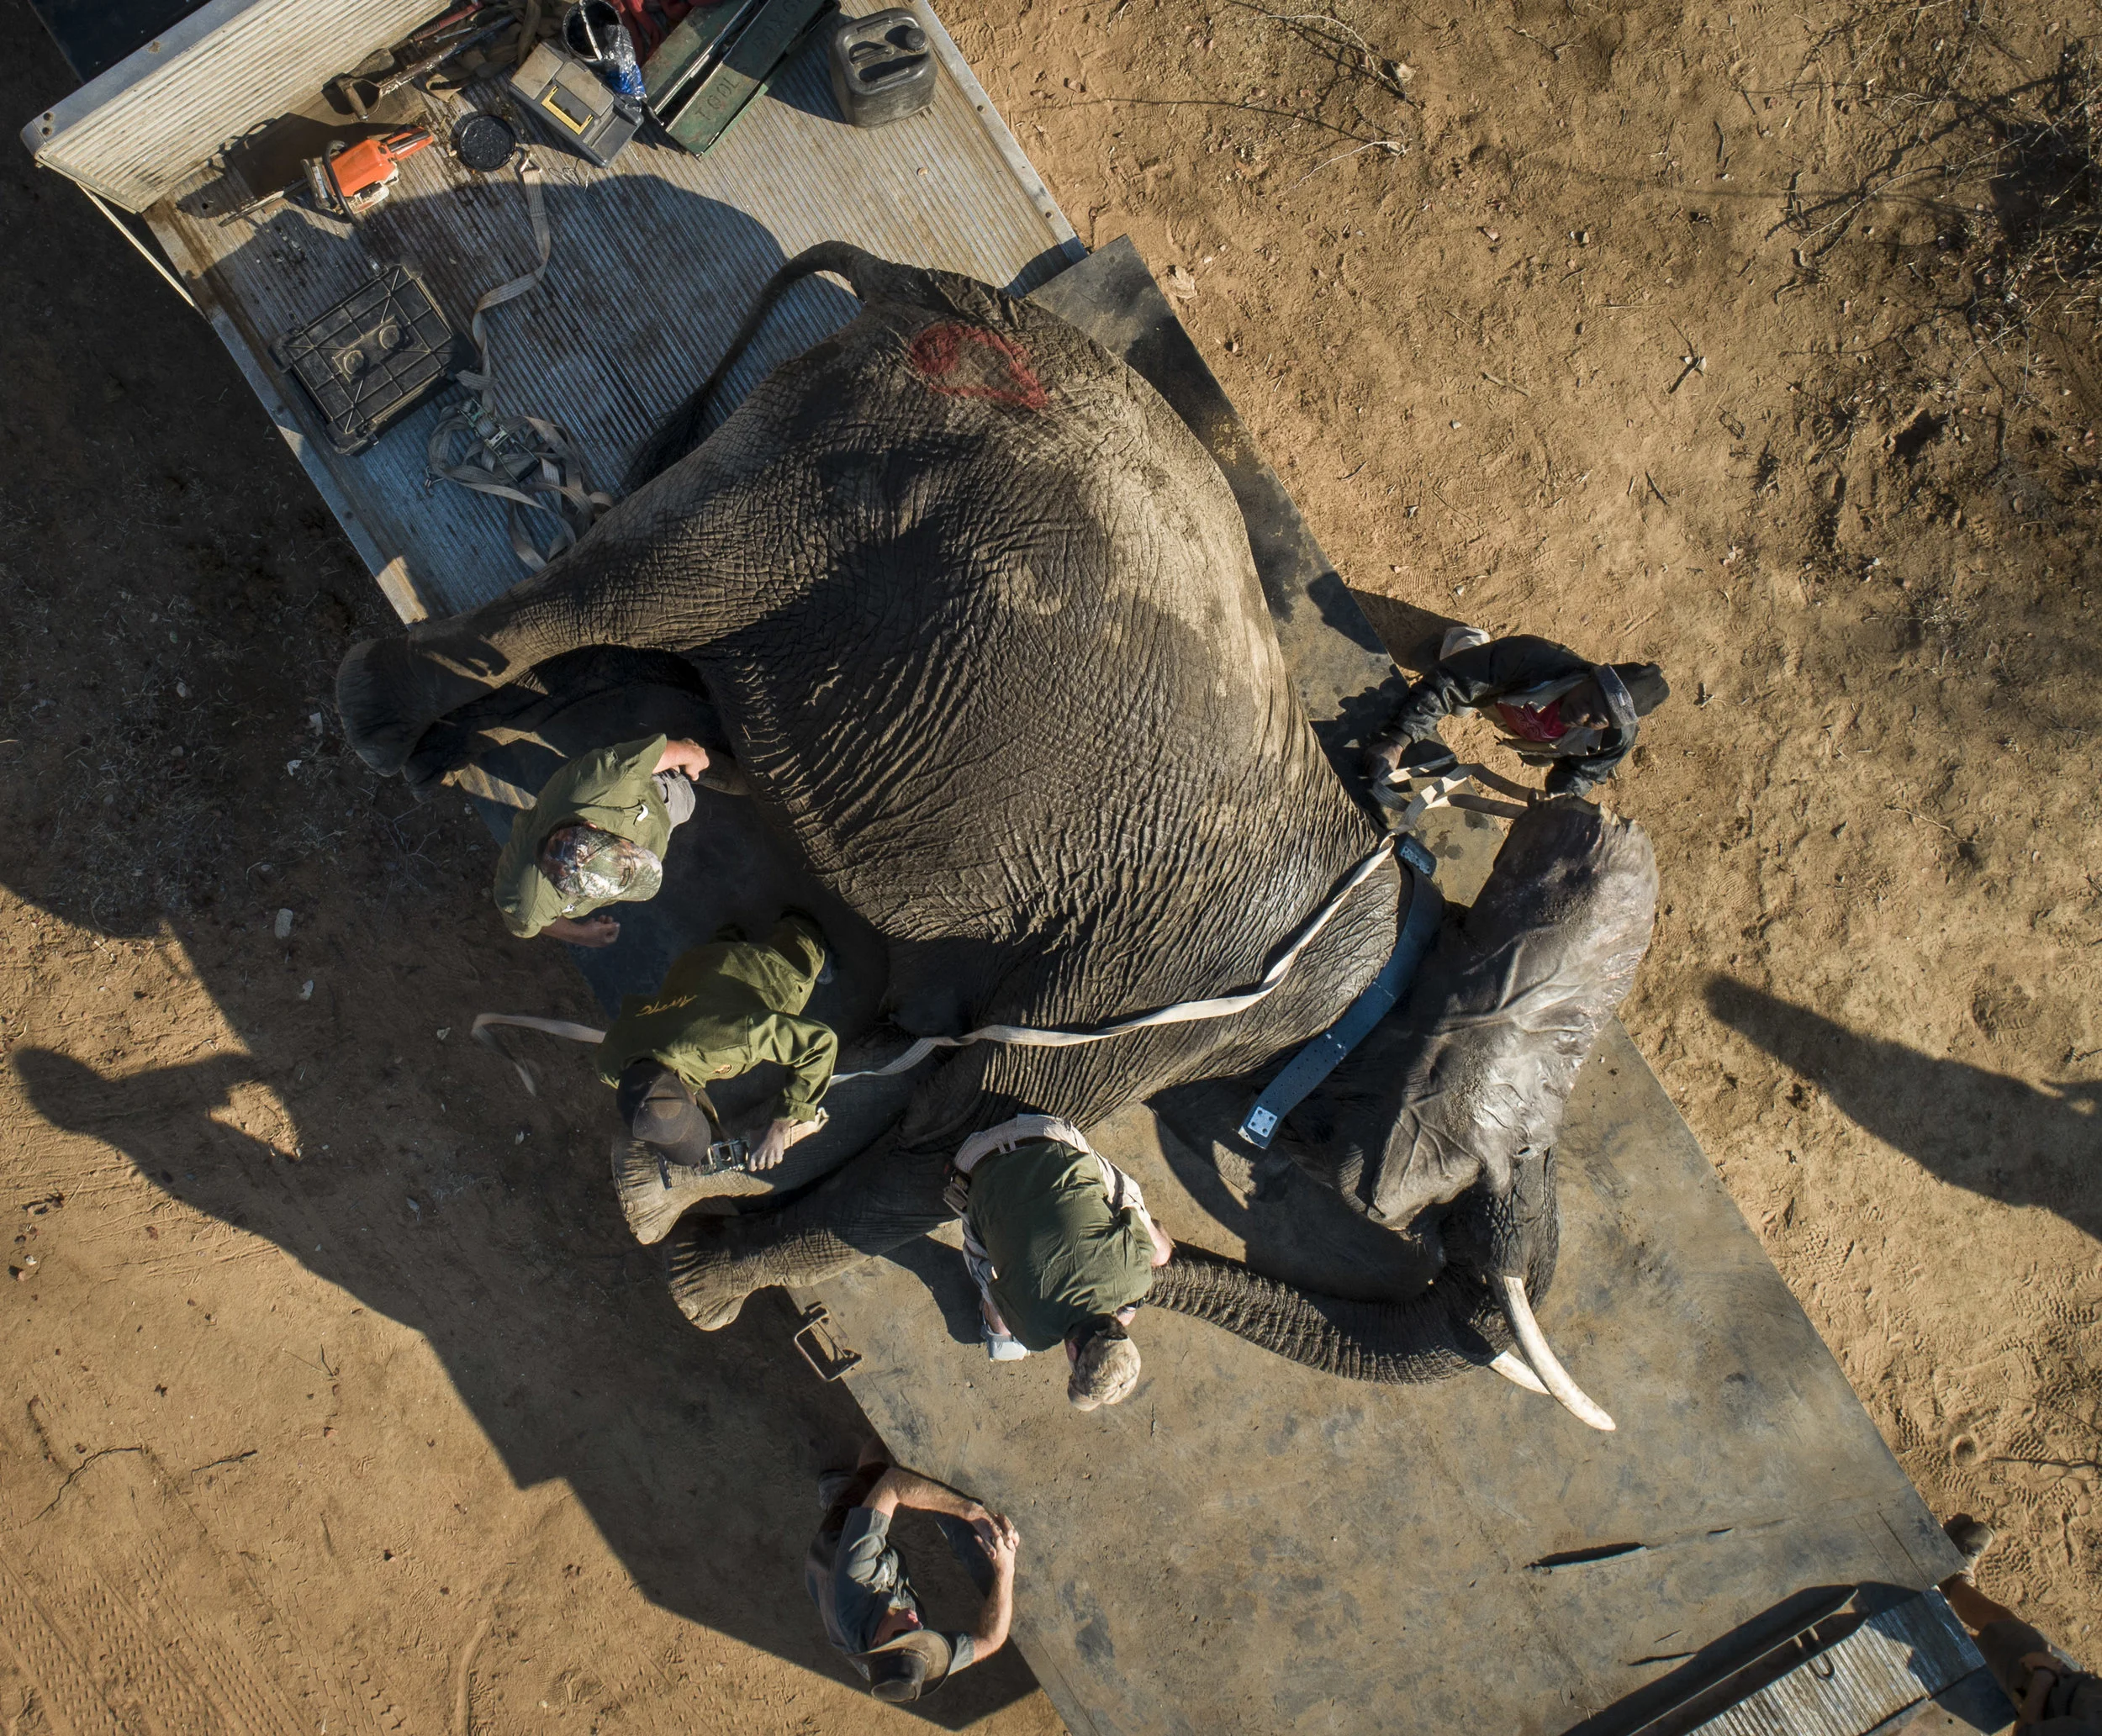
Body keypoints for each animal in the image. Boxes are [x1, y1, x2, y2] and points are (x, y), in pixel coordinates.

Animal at [338, 244, 1657, 1427]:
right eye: (1501, 1162)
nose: (1137, 1262)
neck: (1410, 920)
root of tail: (923, 288)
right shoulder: (1171, 996)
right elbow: (949, 1150)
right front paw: (698, 1280)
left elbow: (916, 1080)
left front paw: (700, 1203)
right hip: (842, 468)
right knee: (624, 590)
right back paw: (376, 720)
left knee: (638, 657)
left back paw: (445, 746)